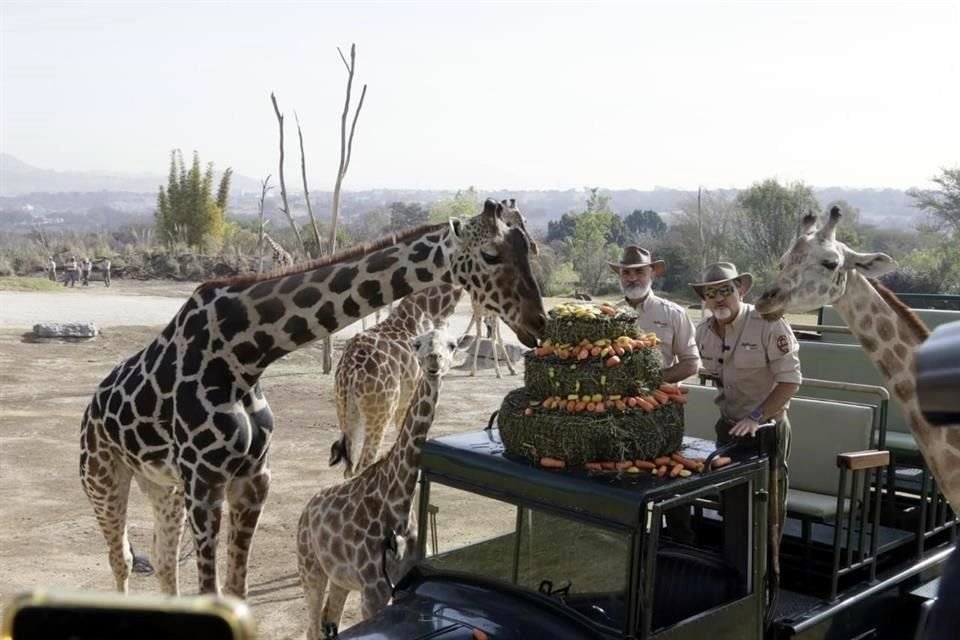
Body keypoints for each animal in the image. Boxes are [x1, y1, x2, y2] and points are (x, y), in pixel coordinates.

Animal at [300, 328, 464, 636]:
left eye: (452, 345)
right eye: (418, 344)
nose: (434, 361)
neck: (398, 498)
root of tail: (306, 511)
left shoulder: (405, 581)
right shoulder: (372, 591)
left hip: (339, 579)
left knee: (329, 618)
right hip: (310, 568)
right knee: (313, 627)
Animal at [328, 282, 466, 478]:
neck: (428, 309)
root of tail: (350, 371)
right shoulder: (407, 398)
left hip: (345, 410)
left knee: (350, 468)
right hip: (381, 412)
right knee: (365, 462)